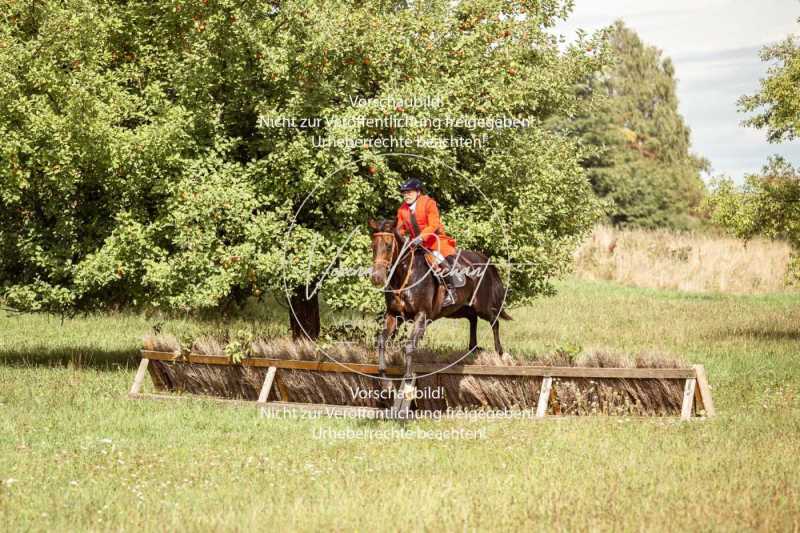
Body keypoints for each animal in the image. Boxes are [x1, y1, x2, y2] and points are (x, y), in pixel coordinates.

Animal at [368, 218, 512, 380]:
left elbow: (410, 346)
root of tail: (483, 259)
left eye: (388, 245)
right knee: (472, 318)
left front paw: (408, 379)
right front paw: (383, 375)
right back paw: (472, 349)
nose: (377, 278)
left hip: (481, 305)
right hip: (458, 309)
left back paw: (500, 353)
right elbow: (381, 340)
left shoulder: (421, 315)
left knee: (494, 320)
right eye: (373, 246)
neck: (405, 274)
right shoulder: (394, 315)